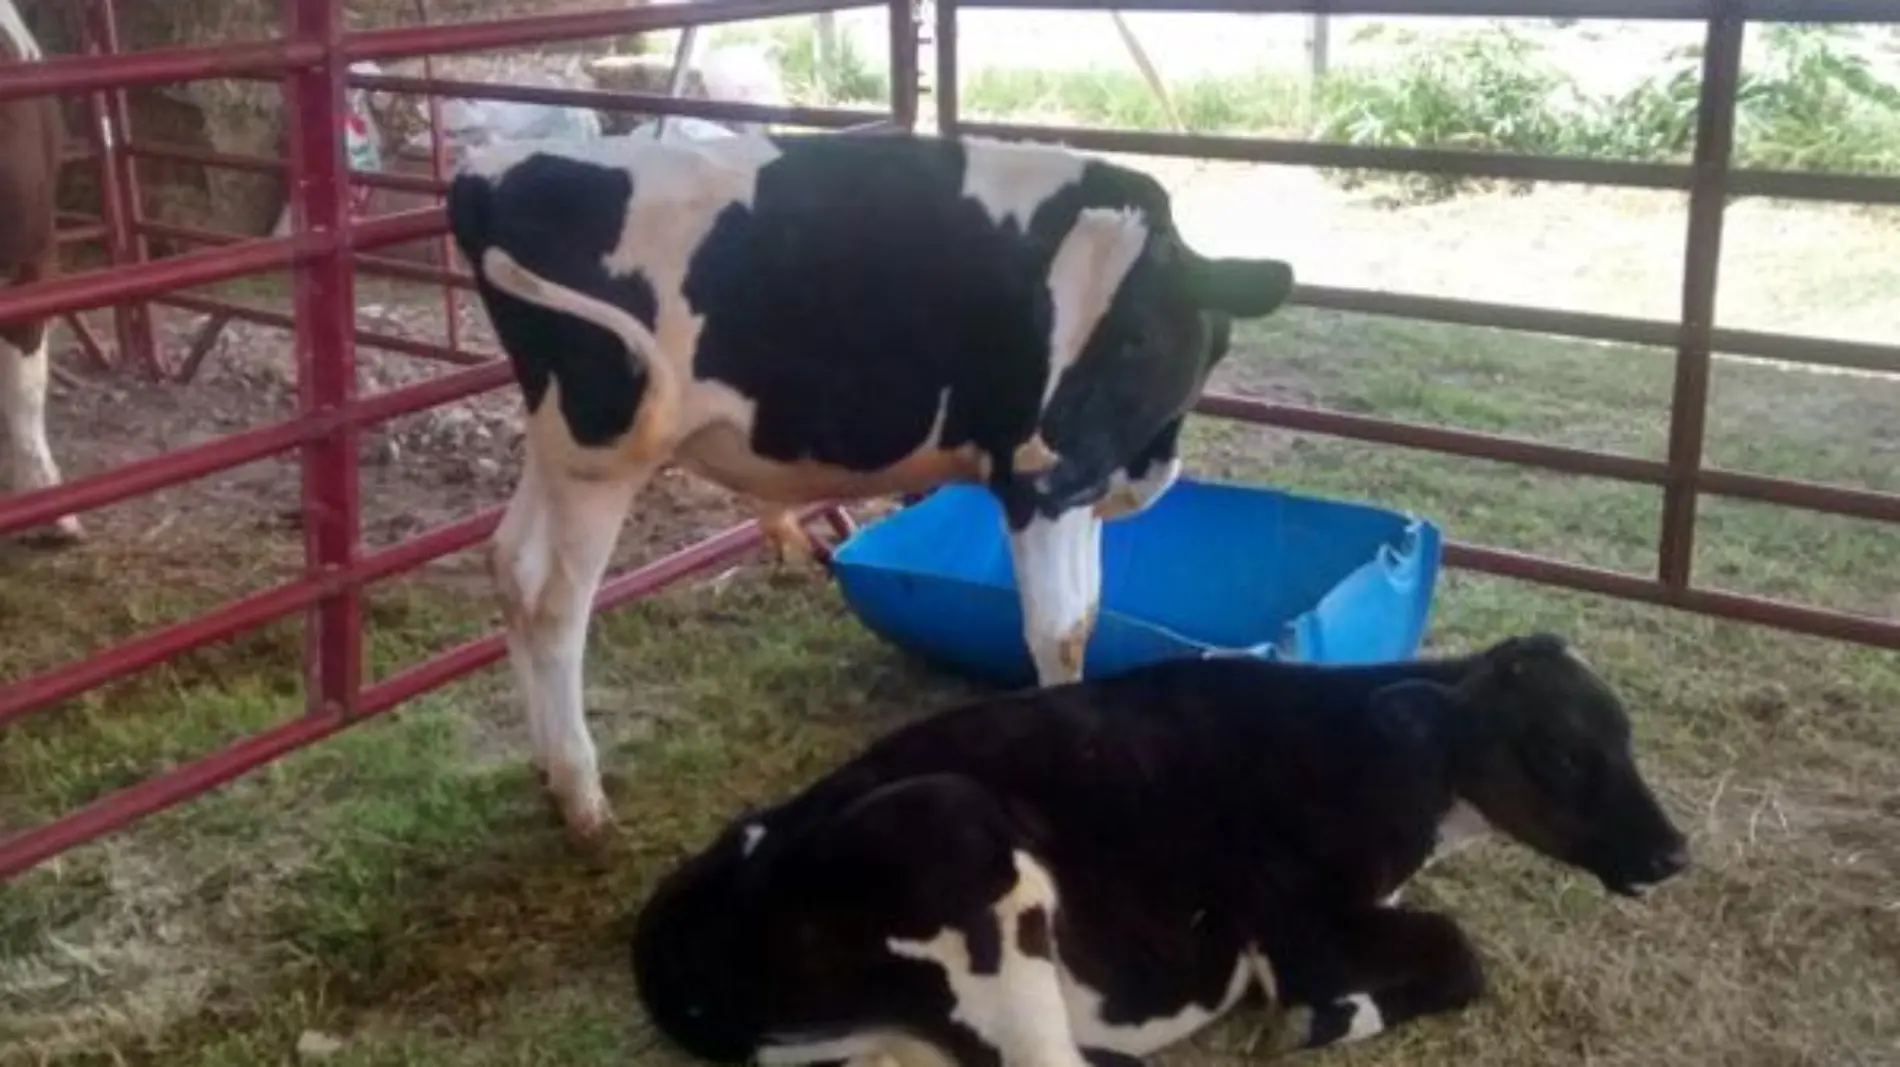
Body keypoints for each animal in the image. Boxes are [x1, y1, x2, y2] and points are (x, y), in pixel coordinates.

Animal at [444, 130, 1295, 839]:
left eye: (1139, 335)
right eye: (1044, 319)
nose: (1036, 450)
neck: (1141, 453)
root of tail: (491, 168)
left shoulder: (1080, 485)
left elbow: (1086, 617)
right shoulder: (1043, 494)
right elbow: (1054, 632)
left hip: (555, 446)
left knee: (511, 564)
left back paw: (547, 767)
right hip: (603, 449)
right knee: (556, 602)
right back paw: (583, 794)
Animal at [631, 633, 1691, 1067]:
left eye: (1630, 735)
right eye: (1561, 750)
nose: (1675, 853)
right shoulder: (1295, 926)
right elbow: (1462, 952)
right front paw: (1323, 1019)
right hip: (955, 843)